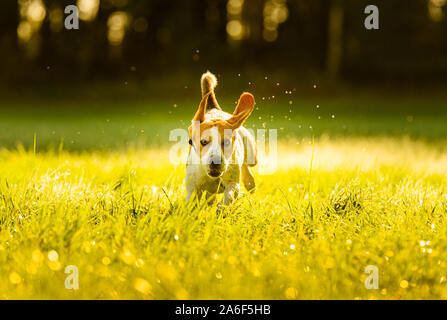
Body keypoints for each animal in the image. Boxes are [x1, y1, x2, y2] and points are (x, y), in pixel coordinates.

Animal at [186, 71, 258, 206]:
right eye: (203, 142)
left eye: (227, 142)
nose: (215, 162)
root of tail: (214, 108)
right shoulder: (192, 187)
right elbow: (192, 201)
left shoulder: (233, 183)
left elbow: (229, 195)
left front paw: (222, 208)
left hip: (252, 157)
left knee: (247, 166)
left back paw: (249, 182)